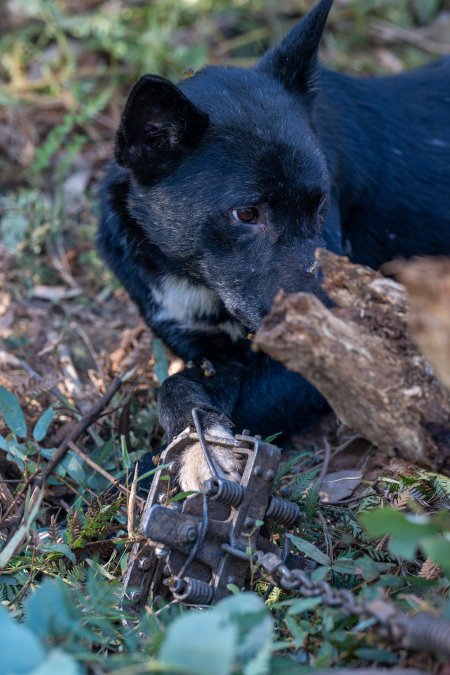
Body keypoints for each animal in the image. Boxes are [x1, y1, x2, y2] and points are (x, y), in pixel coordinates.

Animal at [98, 1, 450, 492]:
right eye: (247, 214)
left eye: (320, 202)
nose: (347, 325)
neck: (194, 278)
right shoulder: (209, 353)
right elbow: (176, 388)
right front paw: (197, 448)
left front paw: (183, 460)